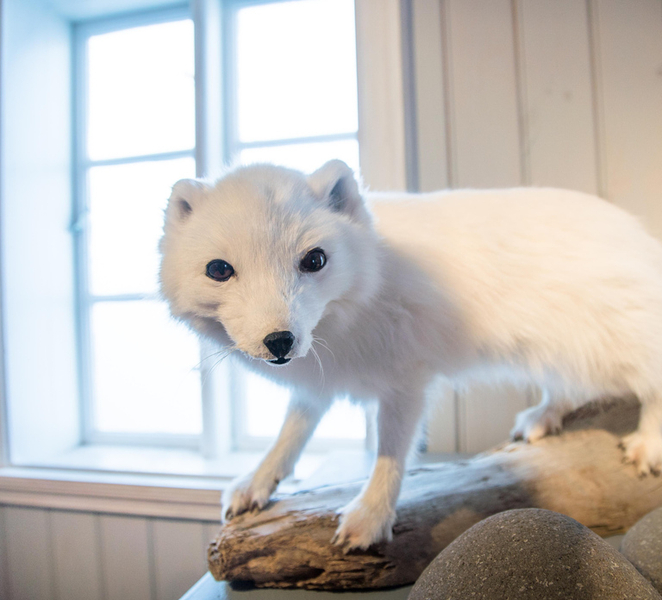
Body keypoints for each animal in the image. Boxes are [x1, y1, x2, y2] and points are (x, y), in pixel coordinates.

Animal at [159, 159, 662, 550]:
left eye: (314, 260)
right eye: (219, 270)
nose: (280, 341)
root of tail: (636, 231)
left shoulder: (406, 380)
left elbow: (391, 453)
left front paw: (370, 515)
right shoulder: (320, 378)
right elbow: (292, 432)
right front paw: (259, 481)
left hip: (612, 341)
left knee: (649, 377)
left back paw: (648, 443)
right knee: (569, 387)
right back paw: (544, 416)